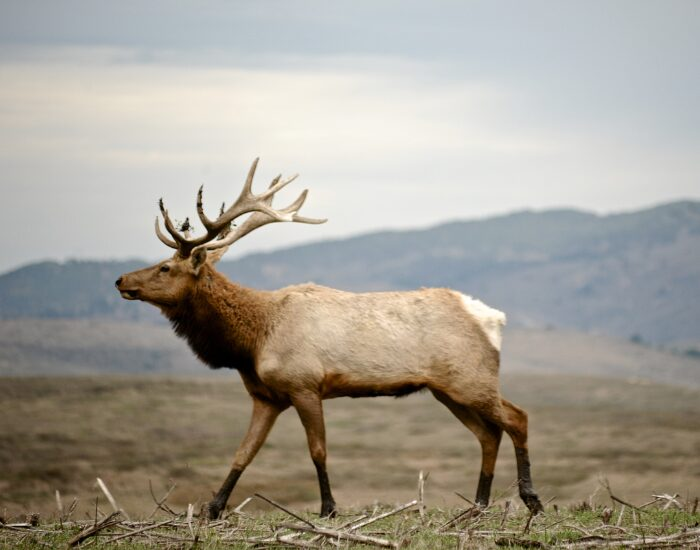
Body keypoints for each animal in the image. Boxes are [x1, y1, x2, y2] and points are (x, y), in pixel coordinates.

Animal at [115, 158, 544, 519]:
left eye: (165, 267)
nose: (121, 280)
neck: (251, 341)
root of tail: (493, 318)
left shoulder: (305, 385)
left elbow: (318, 450)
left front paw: (328, 508)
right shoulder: (266, 396)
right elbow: (244, 452)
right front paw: (213, 508)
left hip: (471, 379)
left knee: (517, 418)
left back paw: (531, 500)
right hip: (447, 390)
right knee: (488, 434)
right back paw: (479, 504)